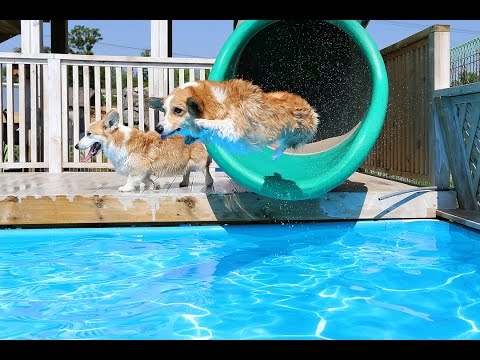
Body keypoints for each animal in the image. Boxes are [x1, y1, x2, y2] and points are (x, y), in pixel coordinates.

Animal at [74, 108, 214, 193]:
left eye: (89, 134)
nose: (76, 146)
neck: (117, 140)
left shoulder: (138, 169)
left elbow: (131, 179)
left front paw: (125, 188)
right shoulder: (144, 171)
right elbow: (145, 179)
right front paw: (152, 186)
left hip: (199, 162)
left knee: (205, 171)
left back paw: (208, 183)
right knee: (187, 170)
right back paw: (184, 183)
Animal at [146, 79, 318, 160]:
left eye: (177, 111)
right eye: (164, 110)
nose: (158, 128)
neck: (219, 102)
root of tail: (311, 108)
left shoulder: (236, 127)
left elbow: (220, 124)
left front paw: (203, 123)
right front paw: (191, 136)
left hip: (300, 132)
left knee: (288, 143)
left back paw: (276, 153)